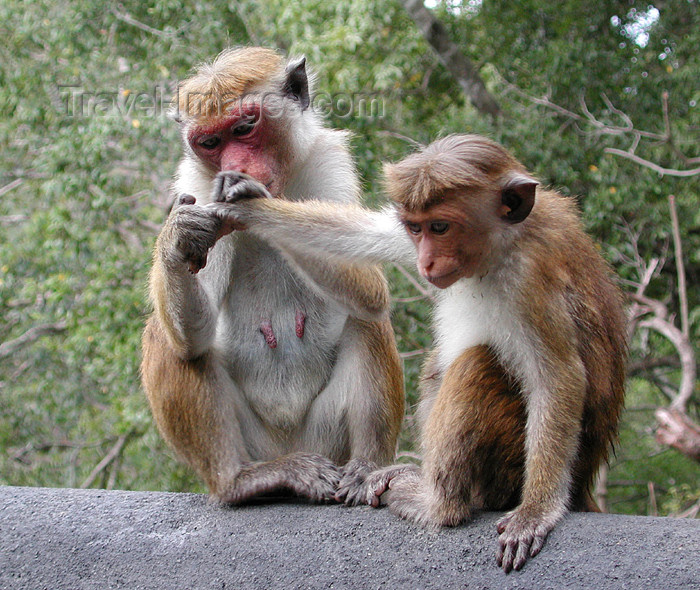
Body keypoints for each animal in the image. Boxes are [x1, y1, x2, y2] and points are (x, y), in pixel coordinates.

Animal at [141, 46, 404, 508]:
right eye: (210, 142)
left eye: (245, 127)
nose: (233, 163)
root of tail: (290, 446)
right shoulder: (197, 184)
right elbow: (193, 335)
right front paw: (177, 236)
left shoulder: (329, 161)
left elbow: (369, 288)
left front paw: (255, 205)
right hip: (259, 443)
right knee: (172, 340)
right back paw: (241, 480)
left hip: (325, 438)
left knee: (367, 321)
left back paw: (366, 470)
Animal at [212, 135, 628, 572]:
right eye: (415, 228)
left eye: (440, 227)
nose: (426, 259)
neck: (505, 244)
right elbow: (367, 233)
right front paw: (250, 204)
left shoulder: (529, 278)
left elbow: (558, 377)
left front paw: (537, 511)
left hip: (511, 465)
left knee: (475, 365)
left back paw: (437, 504)